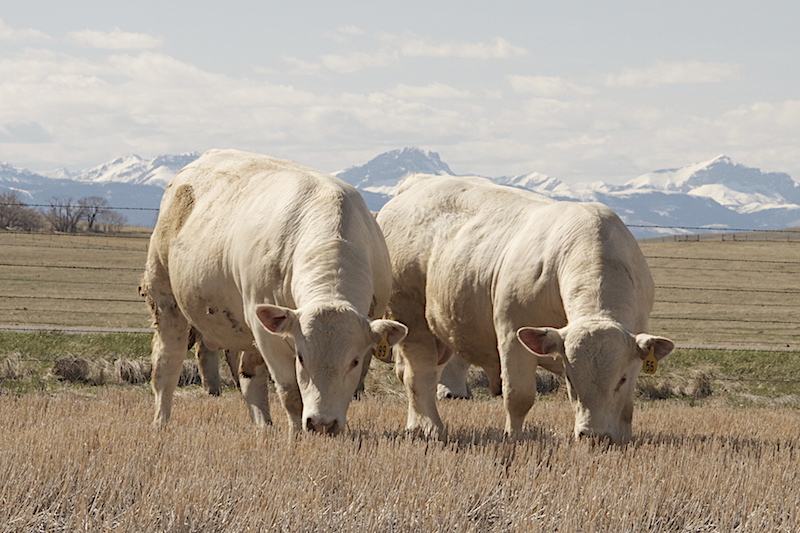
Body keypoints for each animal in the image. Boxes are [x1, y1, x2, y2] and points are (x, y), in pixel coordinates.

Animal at [138, 149, 410, 432]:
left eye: (353, 361)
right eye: (301, 358)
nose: (321, 423)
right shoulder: (269, 336)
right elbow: (291, 393)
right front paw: (296, 433)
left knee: (249, 375)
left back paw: (263, 424)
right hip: (165, 299)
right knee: (166, 364)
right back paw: (161, 421)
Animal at [378, 174, 672, 440]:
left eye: (621, 379)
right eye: (570, 379)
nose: (594, 435)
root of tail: (417, 183)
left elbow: (627, 407)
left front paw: (624, 439)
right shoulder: (512, 333)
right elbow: (519, 396)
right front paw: (514, 438)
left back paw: (415, 424)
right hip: (411, 319)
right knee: (420, 375)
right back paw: (431, 427)